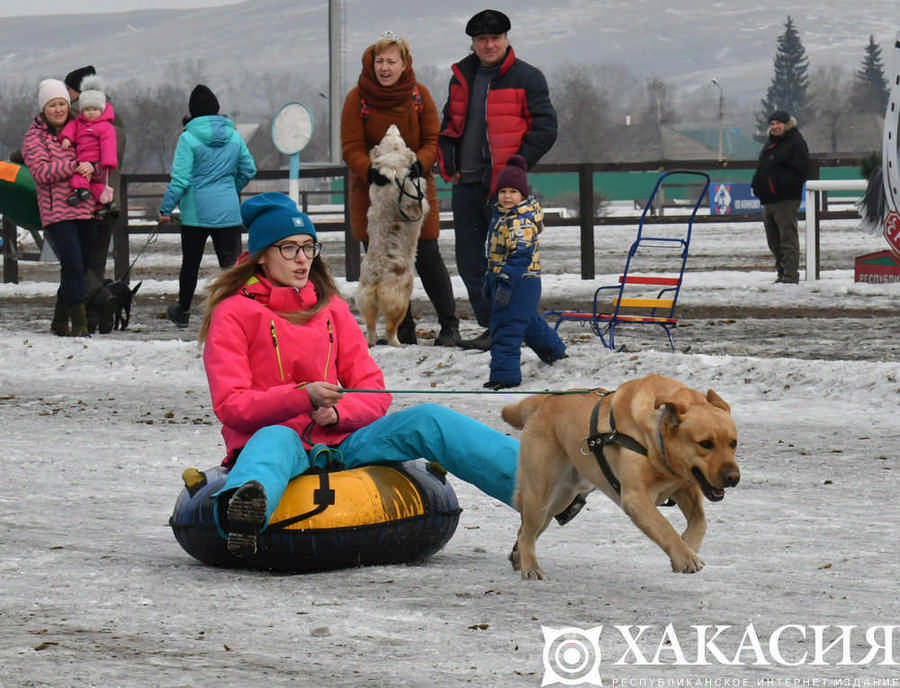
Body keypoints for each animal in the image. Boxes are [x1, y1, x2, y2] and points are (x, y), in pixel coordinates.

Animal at [356, 123, 428, 346]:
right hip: (400, 299)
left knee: (371, 326)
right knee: (390, 328)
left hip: (364, 299)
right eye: (394, 137)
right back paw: (398, 344)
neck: (393, 170)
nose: (393, 125)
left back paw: (370, 342)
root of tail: (377, 283)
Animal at [502, 374, 740, 576]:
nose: (734, 478)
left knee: (526, 530)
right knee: (528, 531)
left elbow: (700, 522)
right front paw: (685, 556)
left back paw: (518, 556)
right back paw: (530, 566)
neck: (656, 441)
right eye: (705, 443)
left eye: (733, 443)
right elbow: (664, 527)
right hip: (540, 493)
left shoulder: (685, 487)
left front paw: (687, 547)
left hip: (561, 499)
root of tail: (545, 401)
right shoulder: (636, 498)